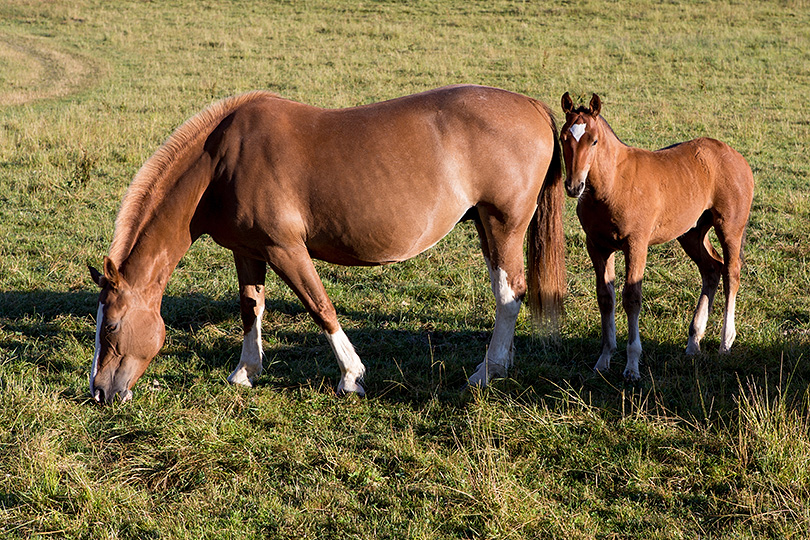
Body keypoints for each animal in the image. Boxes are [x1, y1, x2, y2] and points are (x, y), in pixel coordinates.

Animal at [88, 85, 564, 404]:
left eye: (110, 326)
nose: (99, 392)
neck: (221, 163)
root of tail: (532, 105)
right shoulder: (248, 251)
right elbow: (250, 308)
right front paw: (245, 371)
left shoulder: (285, 250)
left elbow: (320, 307)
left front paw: (351, 376)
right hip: (485, 225)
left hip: (503, 224)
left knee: (508, 294)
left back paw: (489, 371)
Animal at [560, 92, 756, 380]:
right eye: (564, 138)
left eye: (593, 140)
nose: (574, 186)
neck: (613, 183)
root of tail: (734, 155)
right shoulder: (597, 246)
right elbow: (605, 298)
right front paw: (603, 360)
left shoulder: (636, 244)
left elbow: (632, 298)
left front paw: (632, 366)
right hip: (691, 233)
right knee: (712, 269)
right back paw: (693, 342)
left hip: (730, 226)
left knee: (731, 272)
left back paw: (725, 342)